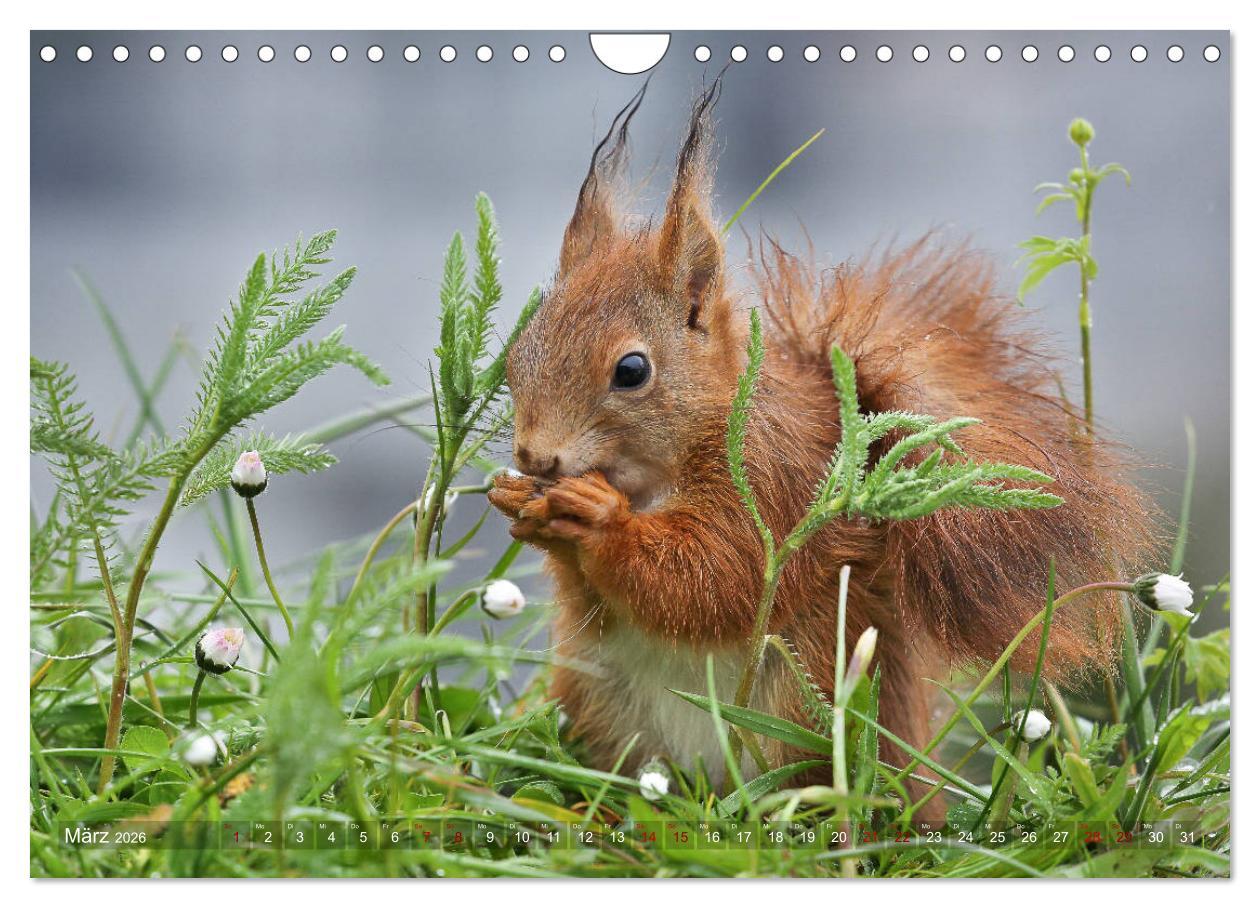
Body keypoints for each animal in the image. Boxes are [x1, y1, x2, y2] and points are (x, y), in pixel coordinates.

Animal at [487, 79, 1157, 818]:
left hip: (813, 726)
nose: (536, 458)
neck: (652, 474)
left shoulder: (774, 481)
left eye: (631, 371)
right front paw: (519, 504)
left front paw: (599, 520)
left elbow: (719, 576)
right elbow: (596, 598)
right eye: (519, 351)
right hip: (595, 705)